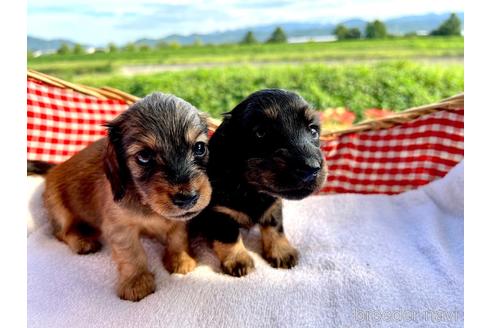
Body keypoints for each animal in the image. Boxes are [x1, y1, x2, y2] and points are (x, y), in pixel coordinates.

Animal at [42, 91, 211, 300]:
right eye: (144, 156)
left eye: (199, 148)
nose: (187, 198)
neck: (146, 203)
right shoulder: (120, 228)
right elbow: (132, 253)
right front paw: (136, 282)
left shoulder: (179, 221)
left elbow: (177, 237)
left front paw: (181, 259)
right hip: (59, 208)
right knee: (62, 232)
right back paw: (83, 241)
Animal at [190, 89, 328, 276]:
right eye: (261, 133)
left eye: (313, 130)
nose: (312, 168)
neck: (253, 191)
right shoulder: (220, 213)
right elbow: (229, 237)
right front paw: (238, 260)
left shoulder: (274, 205)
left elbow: (275, 227)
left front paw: (281, 251)